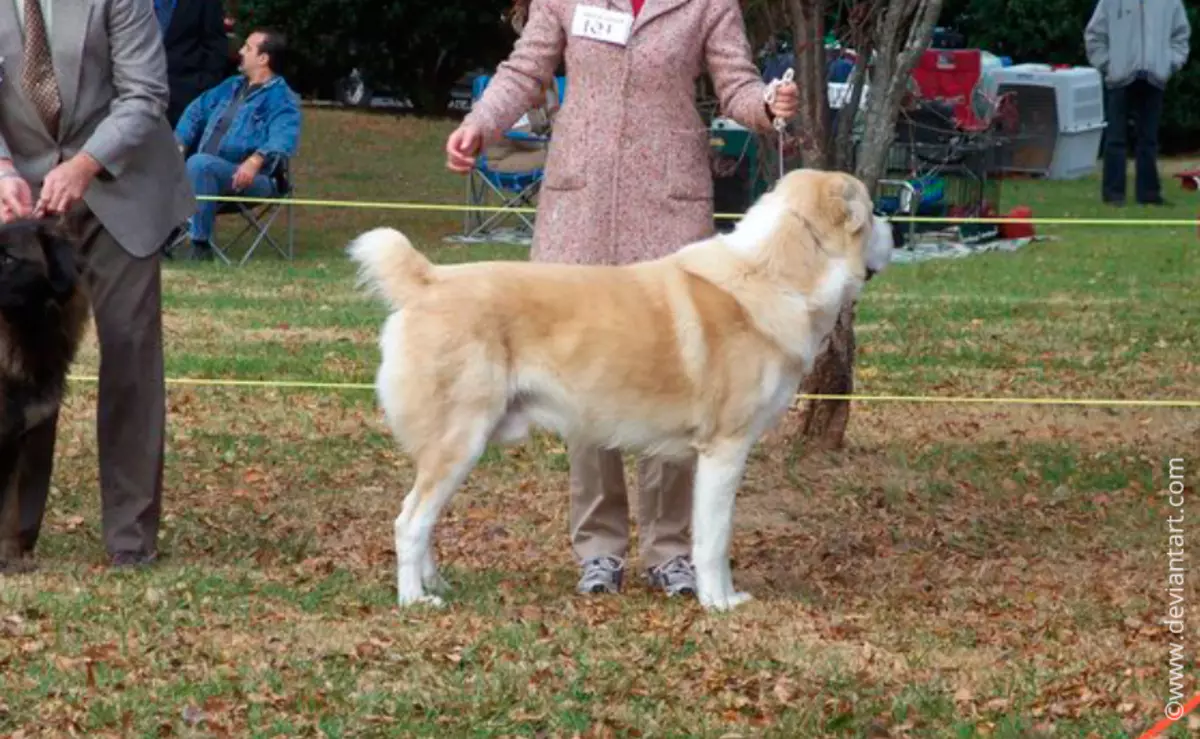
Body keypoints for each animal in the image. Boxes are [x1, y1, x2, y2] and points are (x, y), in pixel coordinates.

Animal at [348, 169, 892, 611]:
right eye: (873, 211)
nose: (897, 227)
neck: (777, 272)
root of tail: (429, 280)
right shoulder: (725, 450)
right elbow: (715, 539)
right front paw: (720, 603)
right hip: (459, 441)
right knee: (409, 521)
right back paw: (414, 599)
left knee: (423, 520)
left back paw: (433, 583)